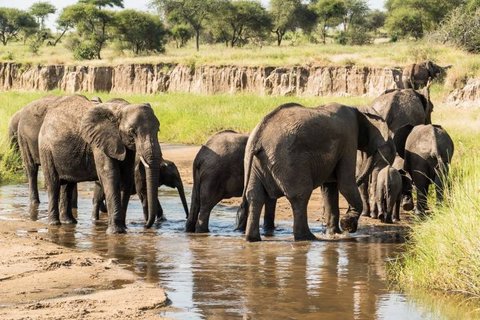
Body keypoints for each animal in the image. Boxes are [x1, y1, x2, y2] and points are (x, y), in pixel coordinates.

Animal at [38, 95, 162, 232]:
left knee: (68, 185)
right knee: (53, 184)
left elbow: (126, 177)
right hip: (45, 149)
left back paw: (69, 222)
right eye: (132, 132)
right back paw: (54, 224)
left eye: (158, 130)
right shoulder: (99, 142)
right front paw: (116, 231)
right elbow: (110, 174)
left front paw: (123, 229)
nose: (145, 226)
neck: (121, 109)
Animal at [238, 103, 396, 242]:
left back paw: (252, 239)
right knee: (300, 195)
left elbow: (329, 188)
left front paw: (335, 233)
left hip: (255, 163)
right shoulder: (349, 138)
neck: (357, 107)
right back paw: (308, 238)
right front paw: (347, 225)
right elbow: (345, 184)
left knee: (255, 196)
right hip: (288, 161)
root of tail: (258, 136)